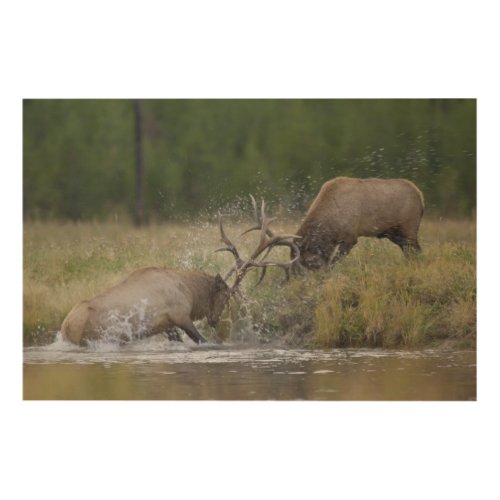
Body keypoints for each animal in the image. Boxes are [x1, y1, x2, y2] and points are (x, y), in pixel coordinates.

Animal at [60, 197, 298, 346]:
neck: (191, 291)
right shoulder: (180, 315)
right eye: (226, 296)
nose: (215, 321)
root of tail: (66, 327)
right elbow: (202, 341)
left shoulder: (167, 326)